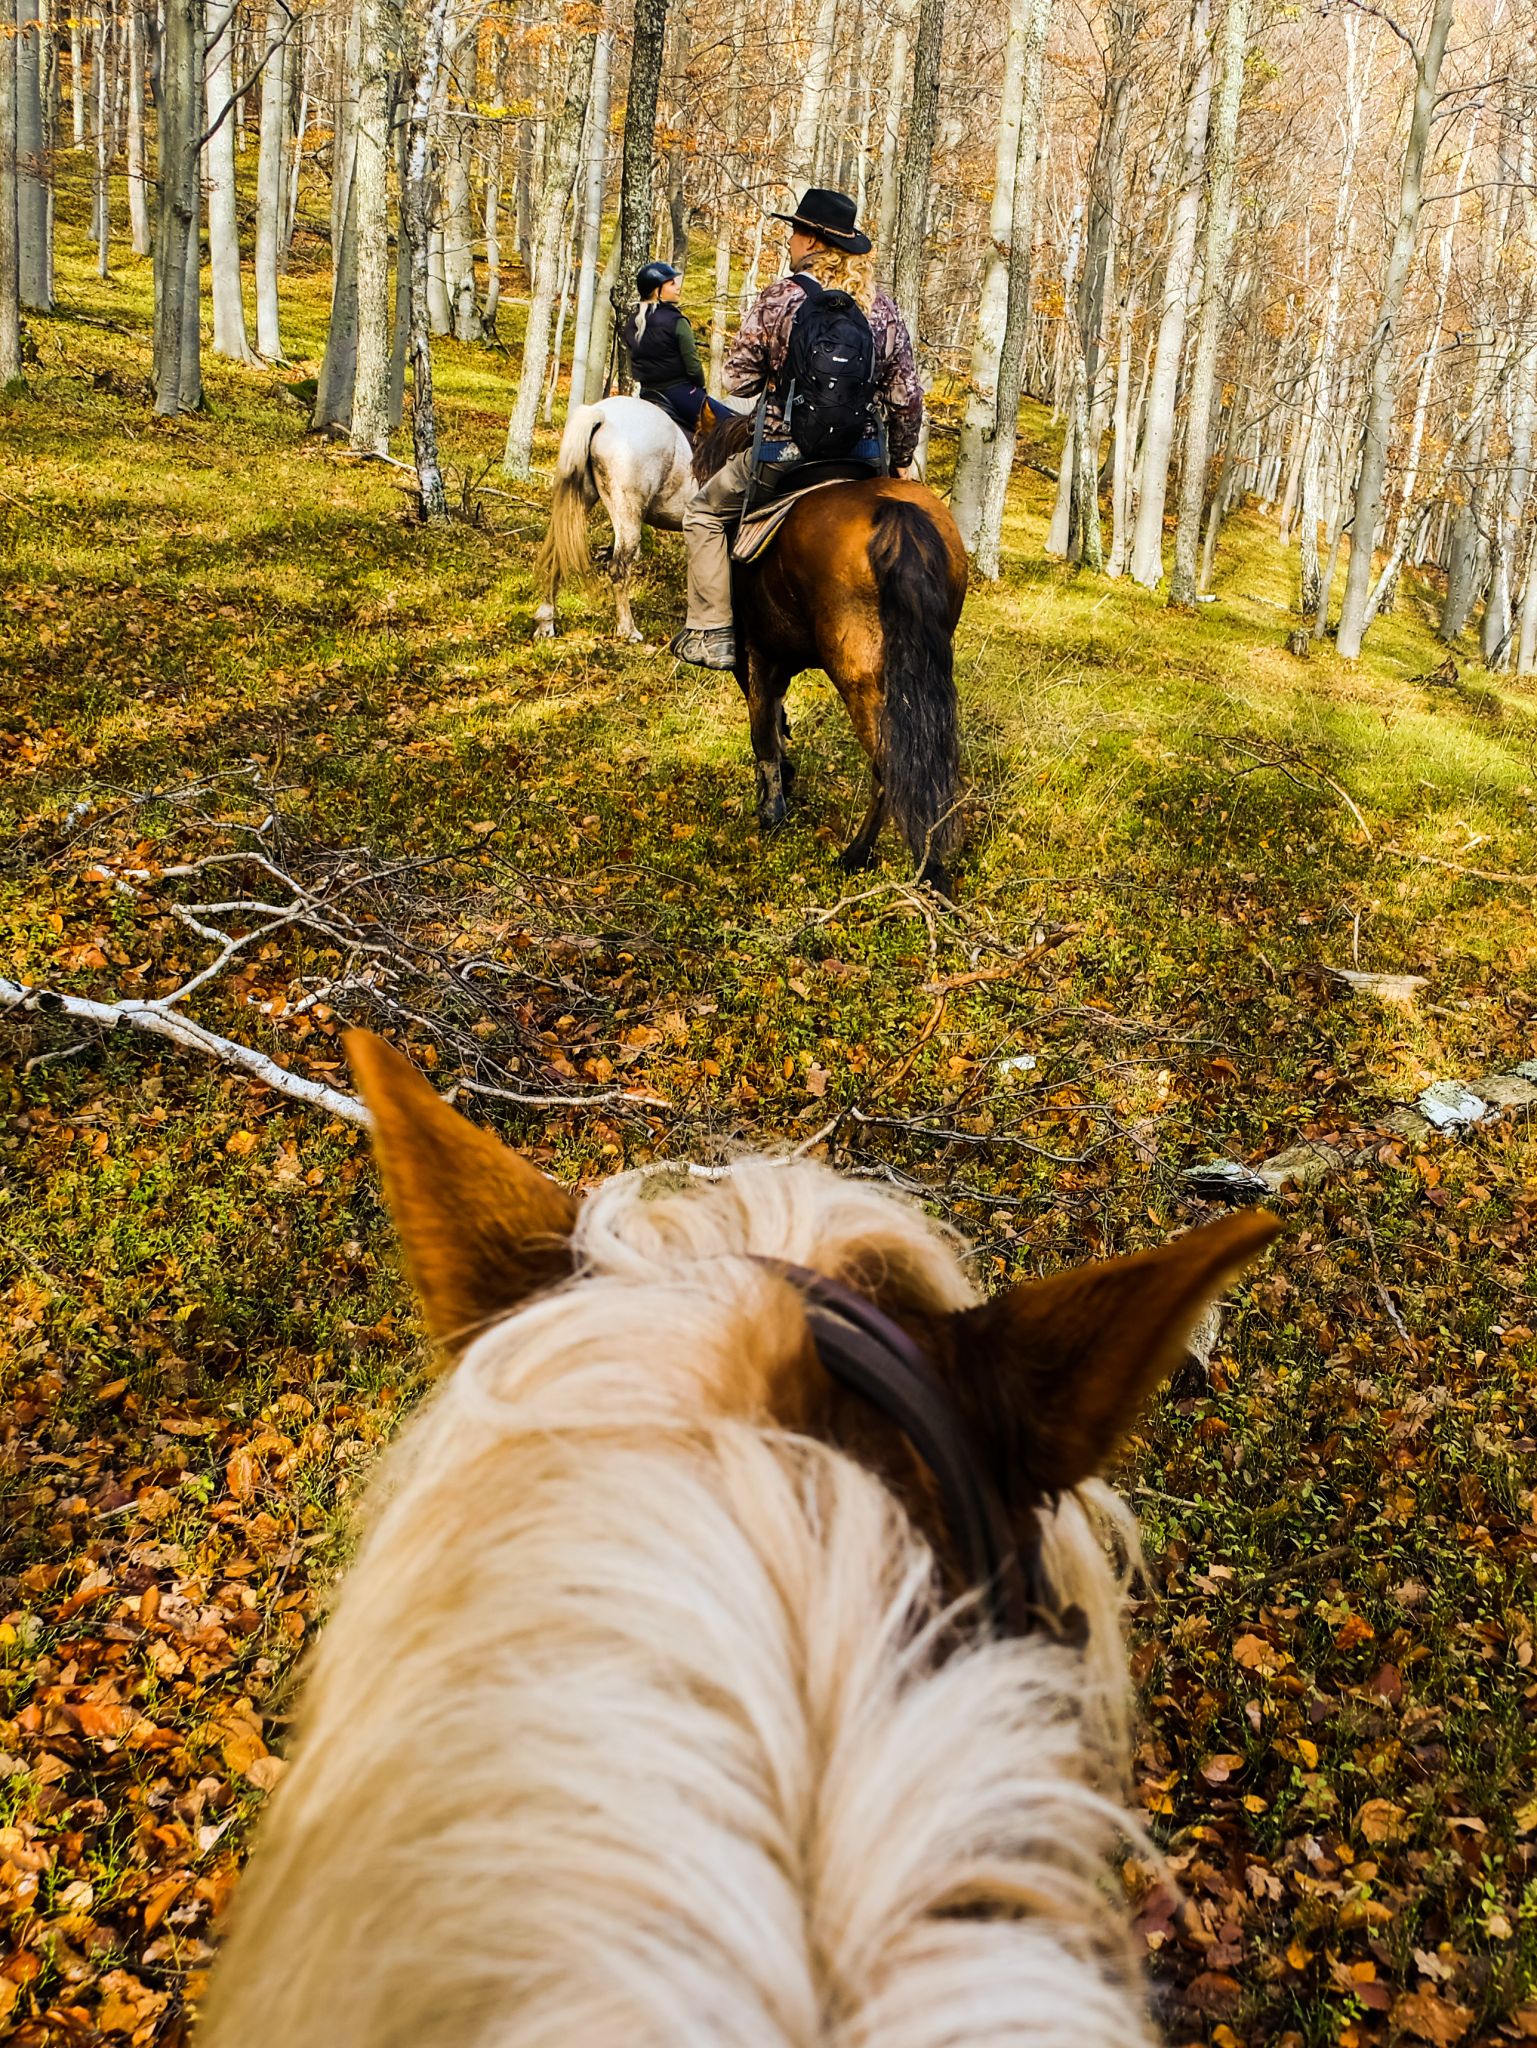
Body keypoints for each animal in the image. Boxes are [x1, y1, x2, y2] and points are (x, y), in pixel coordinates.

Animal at [532, 387, 696, 634]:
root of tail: (601, 414)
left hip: (579, 502)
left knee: (557, 551)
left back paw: (546, 622)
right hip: (628, 513)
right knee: (619, 568)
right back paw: (628, 630)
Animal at [696, 407, 967, 897]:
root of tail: (896, 512)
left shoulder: (755, 657)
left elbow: (762, 730)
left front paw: (772, 806)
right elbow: (775, 718)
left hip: (859, 681)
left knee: (888, 767)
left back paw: (859, 857)